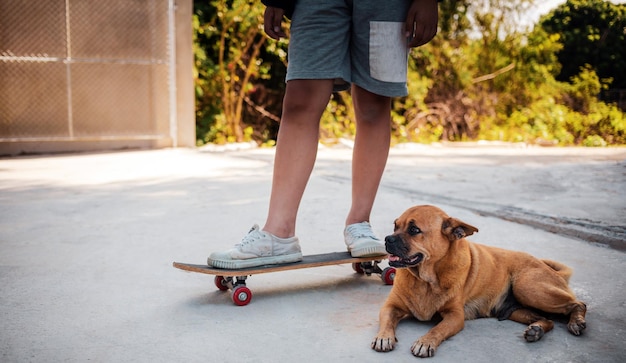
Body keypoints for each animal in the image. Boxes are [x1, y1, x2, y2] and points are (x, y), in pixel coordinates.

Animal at [370, 205, 584, 358]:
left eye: (414, 230)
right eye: (395, 226)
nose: (387, 239)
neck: (426, 280)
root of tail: (548, 267)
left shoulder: (455, 316)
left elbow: (437, 329)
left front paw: (426, 341)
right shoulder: (390, 307)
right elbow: (387, 322)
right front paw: (383, 337)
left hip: (527, 287)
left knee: (578, 304)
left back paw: (576, 322)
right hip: (519, 309)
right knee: (549, 320)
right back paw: (537, 330)